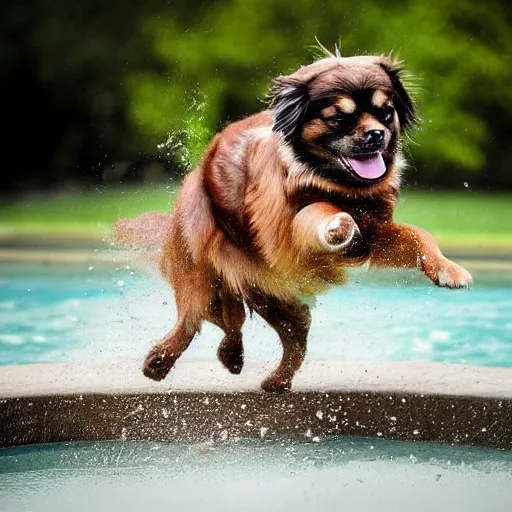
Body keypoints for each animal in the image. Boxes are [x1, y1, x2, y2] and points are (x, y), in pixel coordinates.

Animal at [115, 52, 472, 392]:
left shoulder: (374, 234)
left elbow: (419, 235)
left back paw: (264, 373)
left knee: (279, 334)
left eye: (385, 113)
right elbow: (318, 213)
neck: (339, 186)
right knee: (192, 320)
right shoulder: (291, 232)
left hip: (270, 295)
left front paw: (448, 269)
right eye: (338, 117)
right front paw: (337, 225)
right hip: (201, 273)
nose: (376, 134)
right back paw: (159, 362)